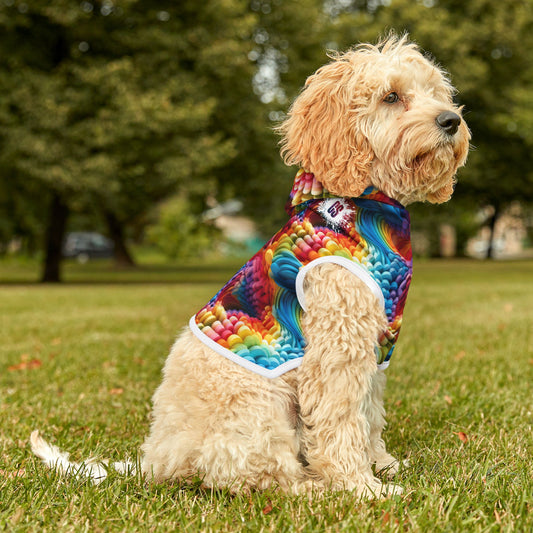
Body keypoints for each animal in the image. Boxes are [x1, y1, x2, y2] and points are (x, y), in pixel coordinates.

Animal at [31, 35, 468, 496]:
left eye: (435, 93)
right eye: (391, 96)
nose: (451, 120)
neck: (366, 206)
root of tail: (156, 461)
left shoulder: (375, 347)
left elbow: (369, 414)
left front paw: (382, 464)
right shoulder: (337, 346)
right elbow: (342, 420)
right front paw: (361, 487)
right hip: (259, 408)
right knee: (257, 475)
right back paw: (313, 486)